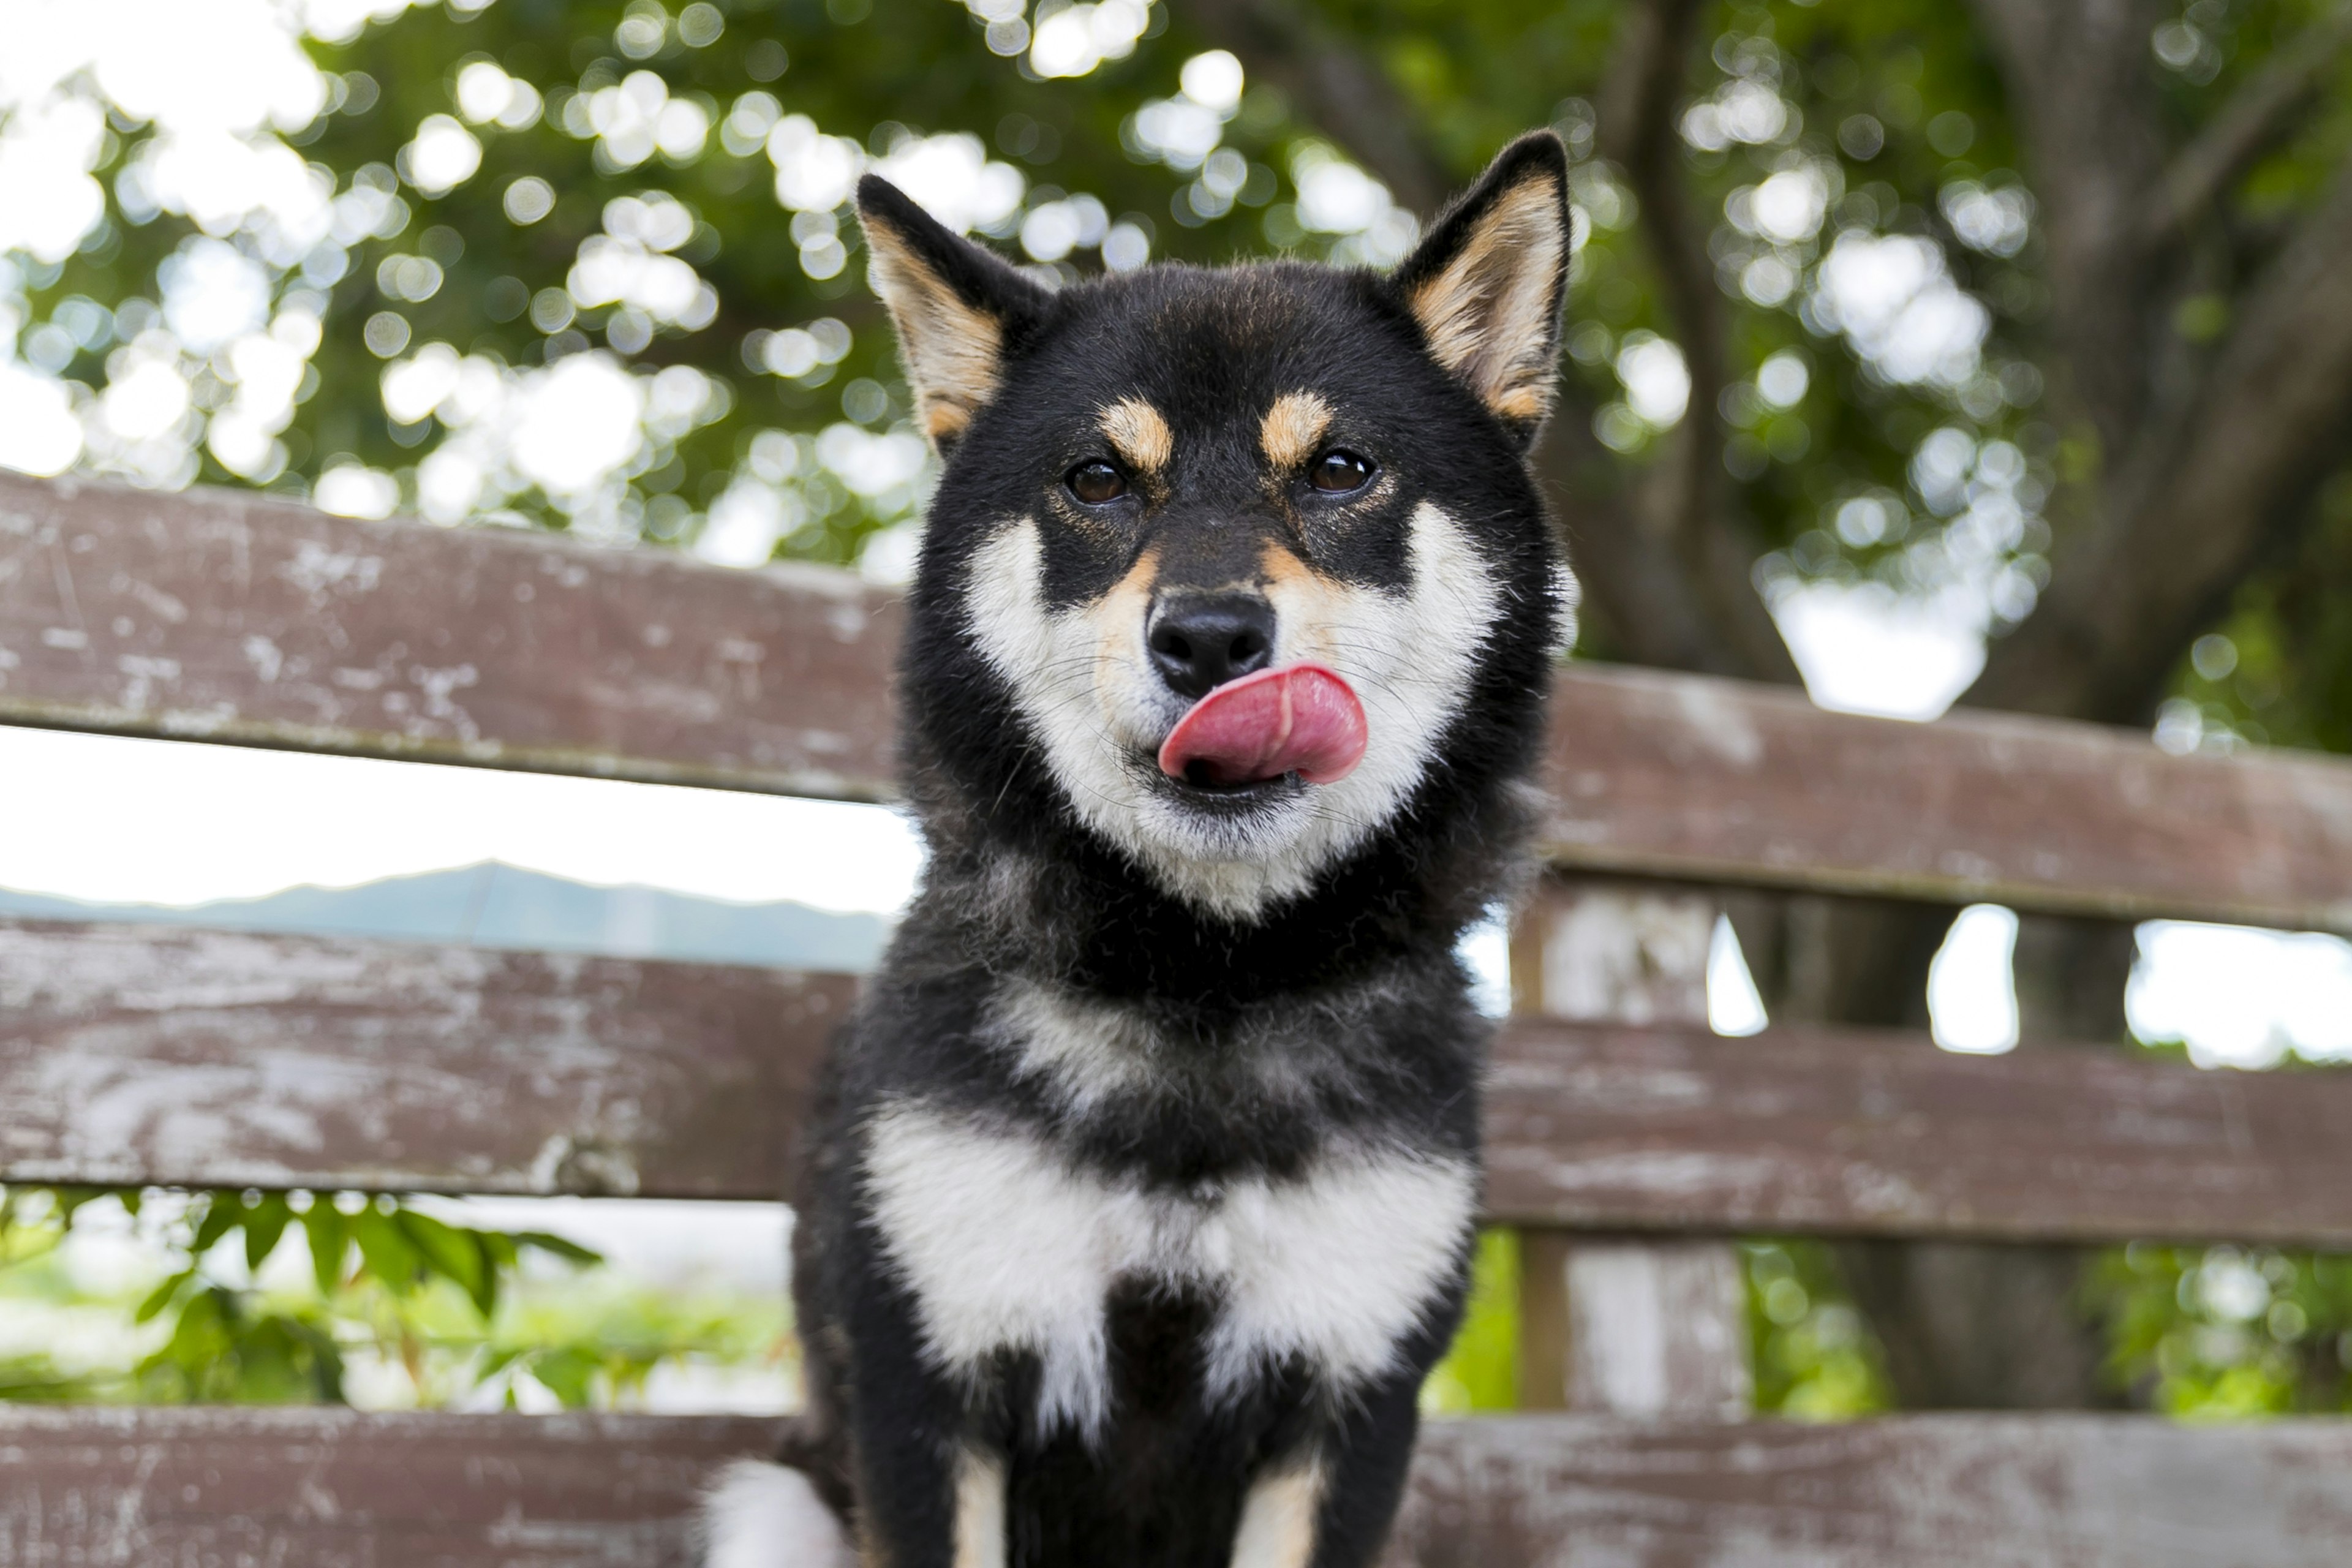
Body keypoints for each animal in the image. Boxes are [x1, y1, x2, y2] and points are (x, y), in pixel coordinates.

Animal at [701, 129, 1580, 1561]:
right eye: (1099, 479)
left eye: (1341, 469)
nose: (1212, 637)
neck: (1203, 981)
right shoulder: (926, 1390)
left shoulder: (1349, 1406)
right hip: (770, 1503)